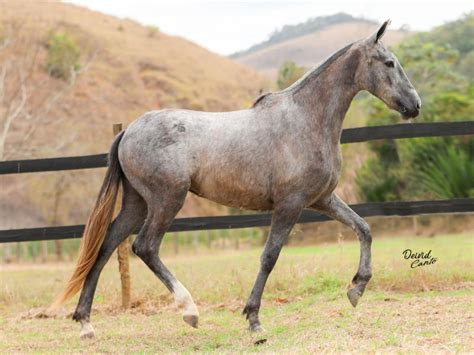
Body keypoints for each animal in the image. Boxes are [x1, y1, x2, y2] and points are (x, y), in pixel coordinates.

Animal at [53, 21, 420, 340]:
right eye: (389, 62)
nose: (415, 105)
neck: (305, 120)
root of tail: (128, 130)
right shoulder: (289, 205)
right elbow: (269, 256)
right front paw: (254, 320)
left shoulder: (322, 199)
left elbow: (364, 228)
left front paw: (356, 288)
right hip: (166, 200)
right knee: (144, 247)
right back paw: (189, 311)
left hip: (137, 203)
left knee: (106, 244)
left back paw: (86, 324)